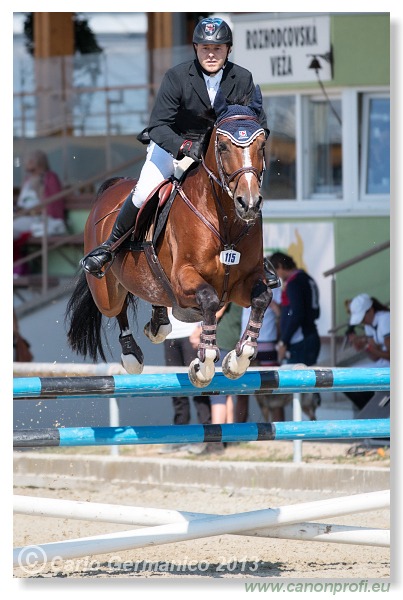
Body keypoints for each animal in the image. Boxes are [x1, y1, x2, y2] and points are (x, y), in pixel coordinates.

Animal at [66, 88, 276, 390]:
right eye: (223, 147)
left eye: (261, 145)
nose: (248, 203)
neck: (224, 219)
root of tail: (111, 187)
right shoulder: (184, 279)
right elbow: (209, 300)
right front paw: (204, 365)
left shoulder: (244, 282)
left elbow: (262, 299)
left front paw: (238, 359)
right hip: (106, 290)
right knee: (117, 308)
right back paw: (131, 354)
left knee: (155, 293)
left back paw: (158, 324)